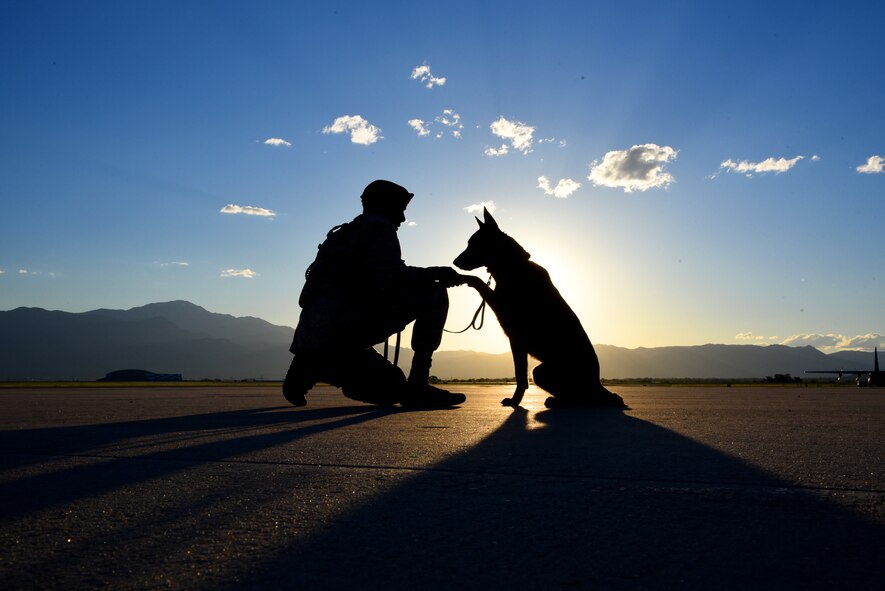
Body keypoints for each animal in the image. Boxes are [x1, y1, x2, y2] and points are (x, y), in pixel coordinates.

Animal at [452, 207, 624, 408]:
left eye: (473, 244)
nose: (454, 262)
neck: (514, 266)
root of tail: (598, 384)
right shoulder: (516, 341)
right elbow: (520, 376)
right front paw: (516, 400)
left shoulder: (503, 312)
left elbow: (478, 281)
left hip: (541, 371)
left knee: (583, 398)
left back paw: (558, 402)